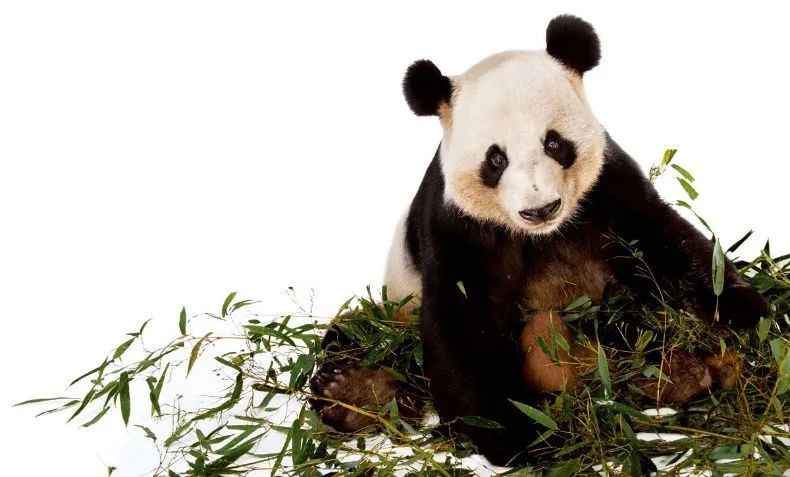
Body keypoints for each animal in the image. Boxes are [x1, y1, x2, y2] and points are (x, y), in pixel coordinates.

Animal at [310, 15, 768, 466]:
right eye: (496, 159)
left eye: (554, 143)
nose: (541, 208)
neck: (544, 234)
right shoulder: (458, 221)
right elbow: (463, 321)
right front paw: (517, 435)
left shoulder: (607, 185)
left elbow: (664, 243)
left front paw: (745, 310)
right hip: (393, 311)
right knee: (352, 335)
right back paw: (351, 392)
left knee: (628, 324)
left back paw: (680, 373)